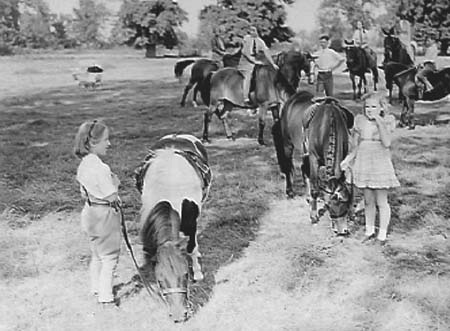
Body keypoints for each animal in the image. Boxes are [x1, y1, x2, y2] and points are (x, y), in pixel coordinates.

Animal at [133, 134, 212, 322]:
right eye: (160, 281)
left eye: (186, 275)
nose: (179, 315)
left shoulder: (191, 222)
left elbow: (191, 247)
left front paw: (198, 273)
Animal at [270, 91, 356, 236]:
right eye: (332, 203)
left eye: (345, 201)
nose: (342, 230)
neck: (327, 127)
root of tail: (293, 98)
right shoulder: (314, 158)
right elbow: (315, 189)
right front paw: (314, 216)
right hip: (288, 144)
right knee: (288, 167)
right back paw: (290, 192)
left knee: (304, 169)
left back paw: (307, 197)